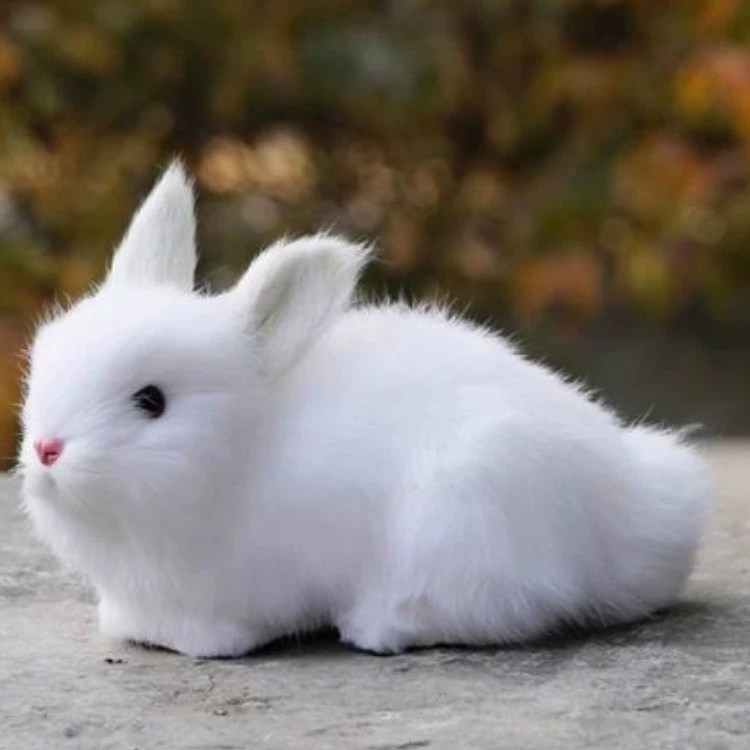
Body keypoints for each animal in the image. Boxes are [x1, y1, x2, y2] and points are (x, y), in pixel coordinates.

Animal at [18, 161, 709, 658]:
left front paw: (196, 642)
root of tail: (634, 507)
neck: (242, 455)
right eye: (49, 354)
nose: (46, 448)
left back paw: (375, 628)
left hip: (468, 517)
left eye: (152, 401)